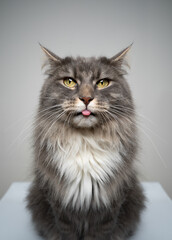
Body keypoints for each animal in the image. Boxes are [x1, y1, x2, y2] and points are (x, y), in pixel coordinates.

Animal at [26, 44, 145, 239]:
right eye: (69, 82)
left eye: (103, 83)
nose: (87, 99)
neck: (86, 140)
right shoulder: (60, 203)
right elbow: (66, 231)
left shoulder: (109, 203)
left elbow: (100, 232)